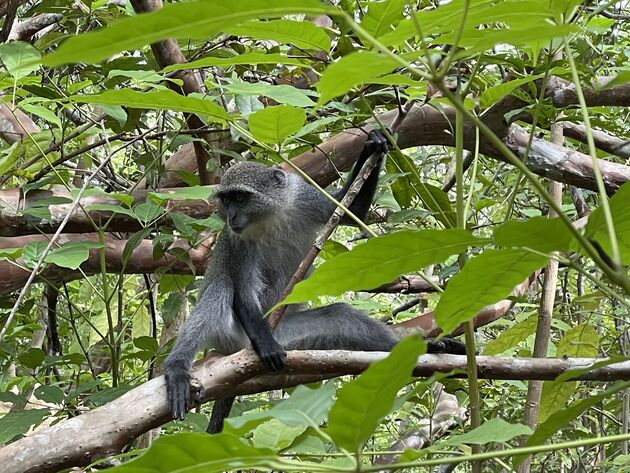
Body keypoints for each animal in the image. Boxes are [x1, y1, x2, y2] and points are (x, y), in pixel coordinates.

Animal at [164, 129, 470, 432]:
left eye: (240, 197)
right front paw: (266, 346)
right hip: (234, 336)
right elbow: (243, 294)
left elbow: (352, 209)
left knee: (342, 316)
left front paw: (373, 143)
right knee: (221, 289)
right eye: (227, 200)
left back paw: (428, 347)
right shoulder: (239, 243)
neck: (269, 218)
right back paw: (177, 369)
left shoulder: (304, 199)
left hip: (291, 336)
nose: (231, 216)